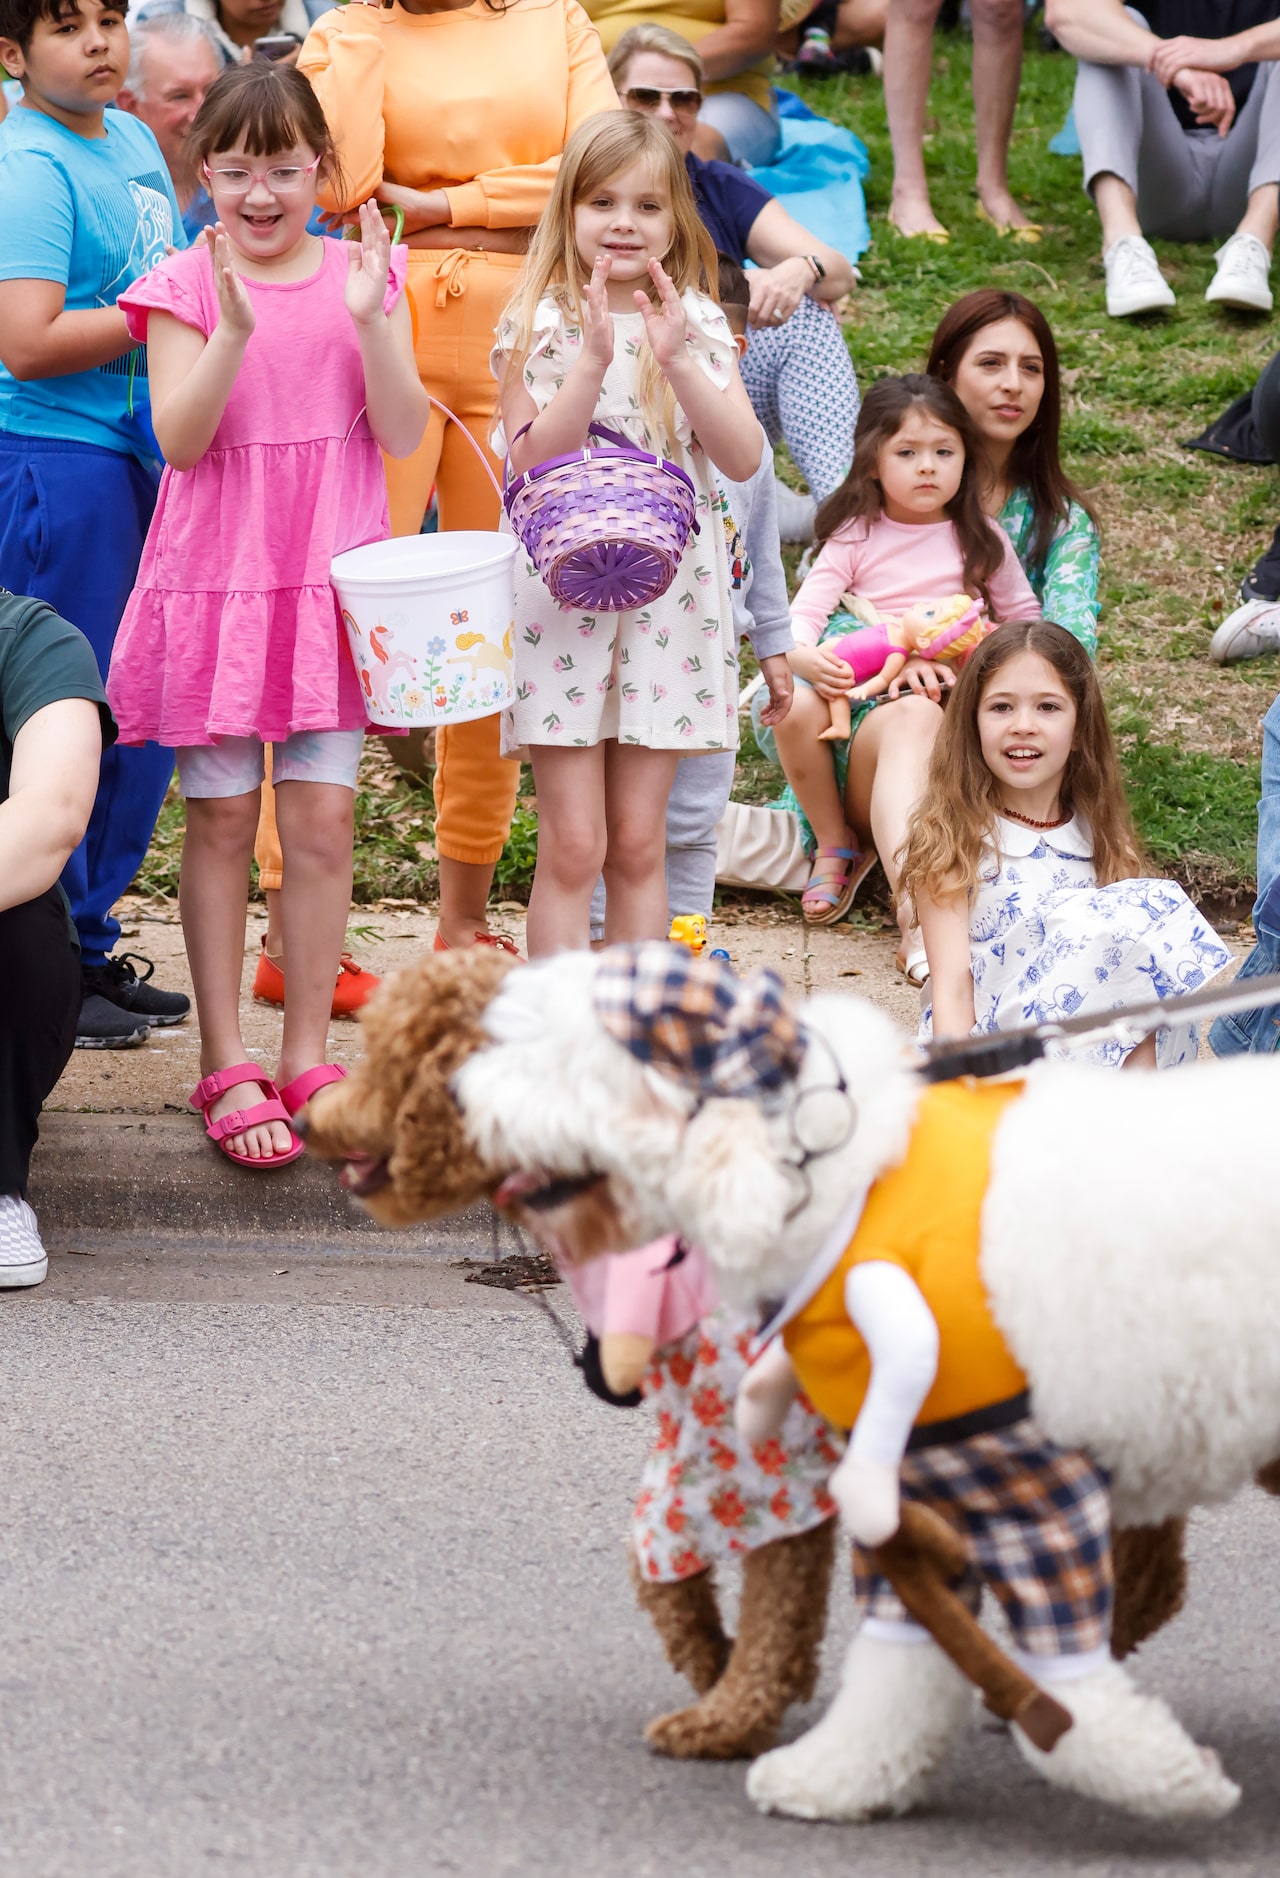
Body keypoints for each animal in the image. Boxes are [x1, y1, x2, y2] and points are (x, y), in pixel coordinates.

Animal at [304, 946, 1280, 1825]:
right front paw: (717, 1663)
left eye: (395, 1059)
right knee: (1152, 1572)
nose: (312, 1119)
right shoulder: (712, 1440)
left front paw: (733, 1710)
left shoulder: (769, 1459)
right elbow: (659, 1567)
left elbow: (761, 1595)